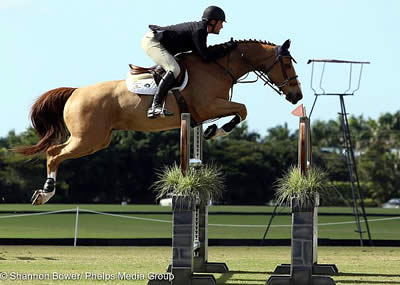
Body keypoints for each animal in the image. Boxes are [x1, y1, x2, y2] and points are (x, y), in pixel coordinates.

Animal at [14, 39, 302, 204]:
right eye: (288, 64)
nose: (296, 95)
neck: (218, 67)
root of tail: (75, 92)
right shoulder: (208, 106)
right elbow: (242, 110)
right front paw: (216, 130)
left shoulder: (204, 111)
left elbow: (240, 110)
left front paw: (212, 130)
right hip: (87, 139)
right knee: (53, 153)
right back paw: (46, 193)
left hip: (97, 140)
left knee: (56, 153)